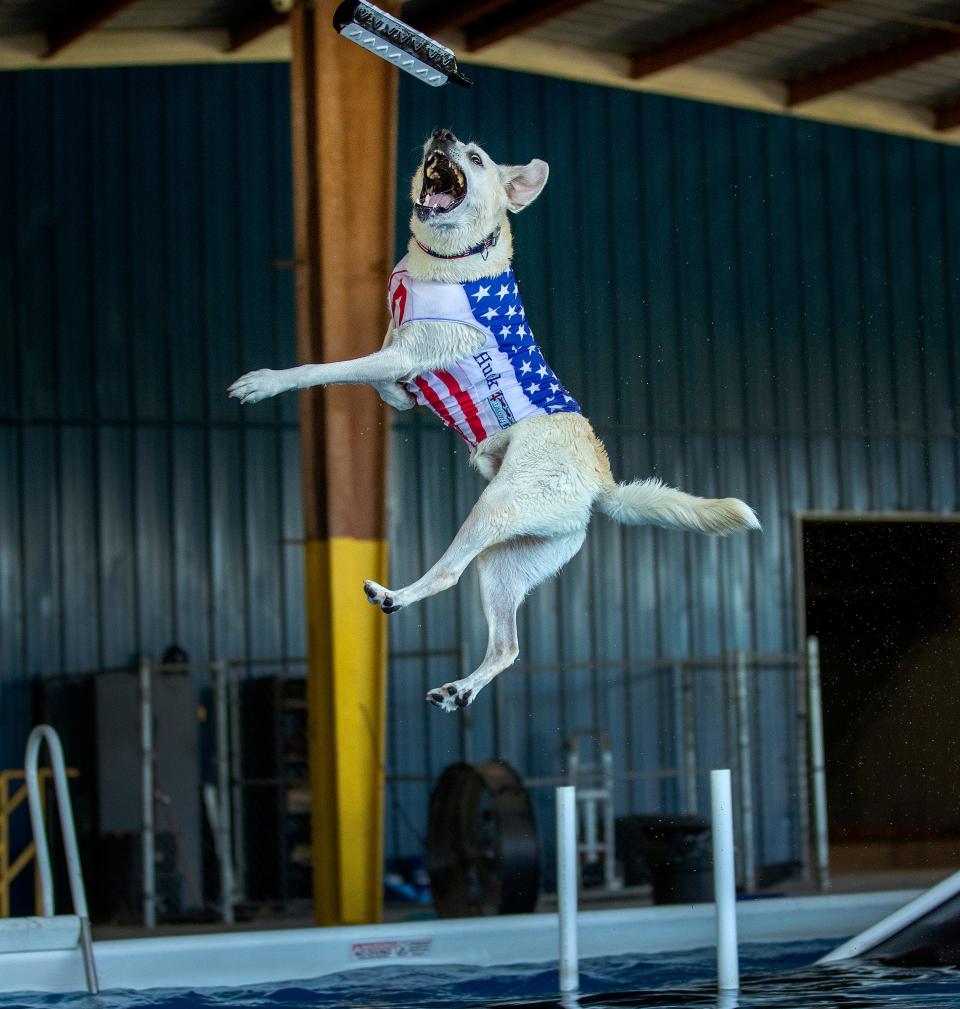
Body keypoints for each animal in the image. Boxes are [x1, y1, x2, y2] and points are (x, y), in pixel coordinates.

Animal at [227, 128, 759, 710]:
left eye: (476, 157)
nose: (442, 134)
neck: (452, 257)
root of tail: (602, 485)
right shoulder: (396, 358)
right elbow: (386, 384)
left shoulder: (402, 351)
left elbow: (327, 369)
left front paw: (264, 382)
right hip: (504, 564)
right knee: (507, 646)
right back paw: (459, 690)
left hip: (493, 509)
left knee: (448, 573)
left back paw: (393, 597)